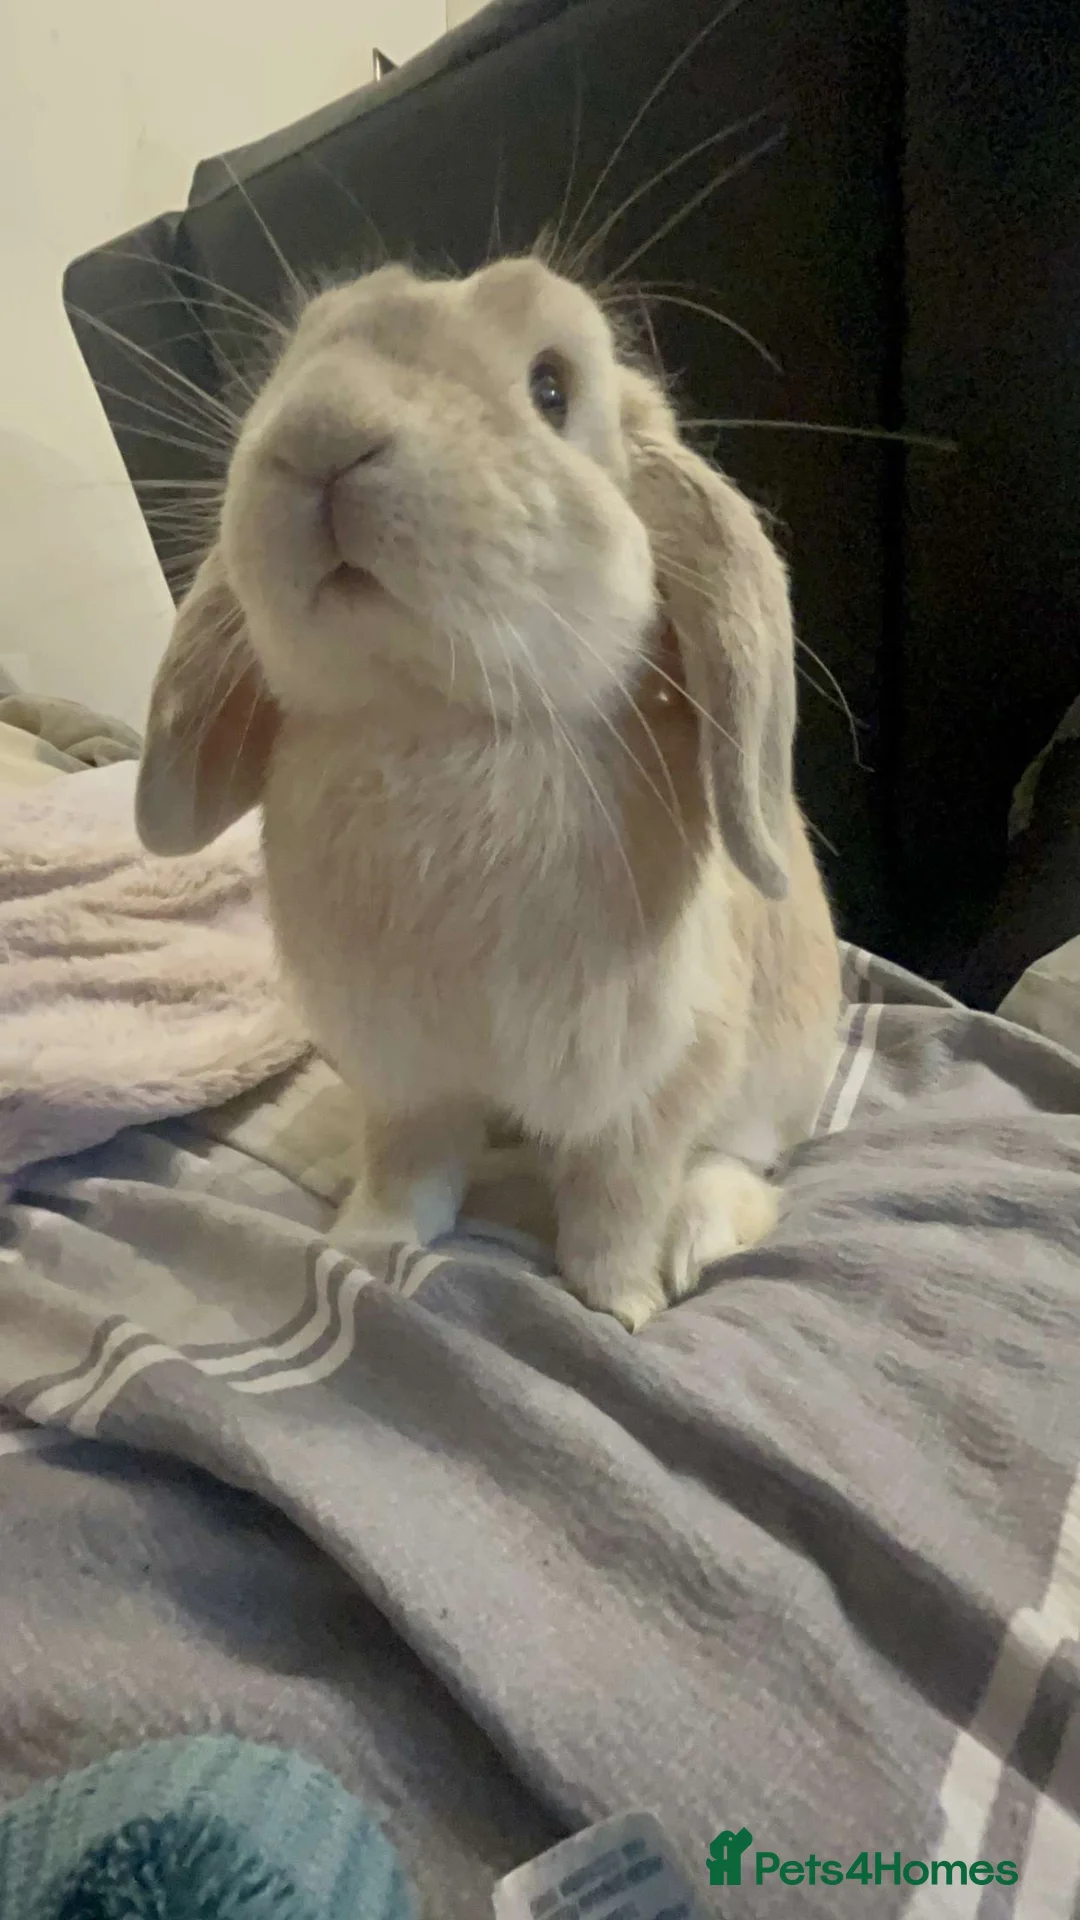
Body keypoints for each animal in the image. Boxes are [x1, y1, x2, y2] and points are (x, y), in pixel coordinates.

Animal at [136, 256, 841, 1330]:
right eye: (300, 355)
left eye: (552, 388)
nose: (320, 433)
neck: (438, 719)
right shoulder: (407, 1076)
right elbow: (410, 1171)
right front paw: (363, 1245)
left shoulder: (649, 1088)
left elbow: (616, 1199)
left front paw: (621, 1305)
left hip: (771, 1085)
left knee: (744, 1169)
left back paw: (695, 1237)